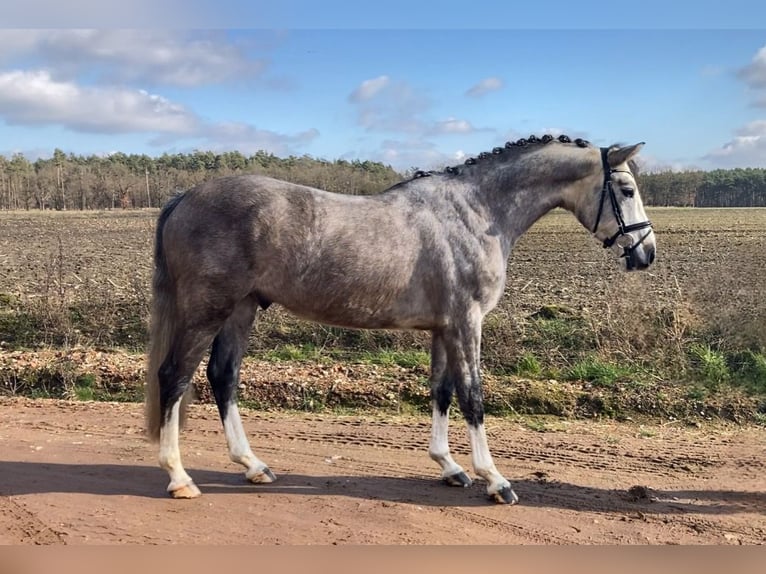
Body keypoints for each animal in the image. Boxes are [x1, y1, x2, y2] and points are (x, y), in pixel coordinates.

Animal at [147, 134, 656, 504]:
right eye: (627, 190)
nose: (646, 253)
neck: (476, 213)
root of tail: (184, 197)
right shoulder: (466, 323)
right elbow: (473, 397)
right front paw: (495, 479)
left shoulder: (443, 328)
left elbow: (442, 392)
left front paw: (450, 467)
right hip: (206, 310)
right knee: (174, 376)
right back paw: (179, 477)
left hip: (243, 309)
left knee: (223, 376)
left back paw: (253, 466)